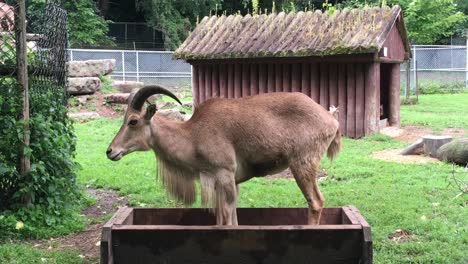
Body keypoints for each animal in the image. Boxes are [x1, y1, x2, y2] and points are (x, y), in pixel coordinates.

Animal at [107, 85, 340, 226]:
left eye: (133, 121)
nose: (110, 151)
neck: (193, 135)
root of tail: (331, 119)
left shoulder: (224, 174)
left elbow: (227, 218)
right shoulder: (226, 182)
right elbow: (230, 217)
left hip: (302, 165)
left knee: (316, 202)